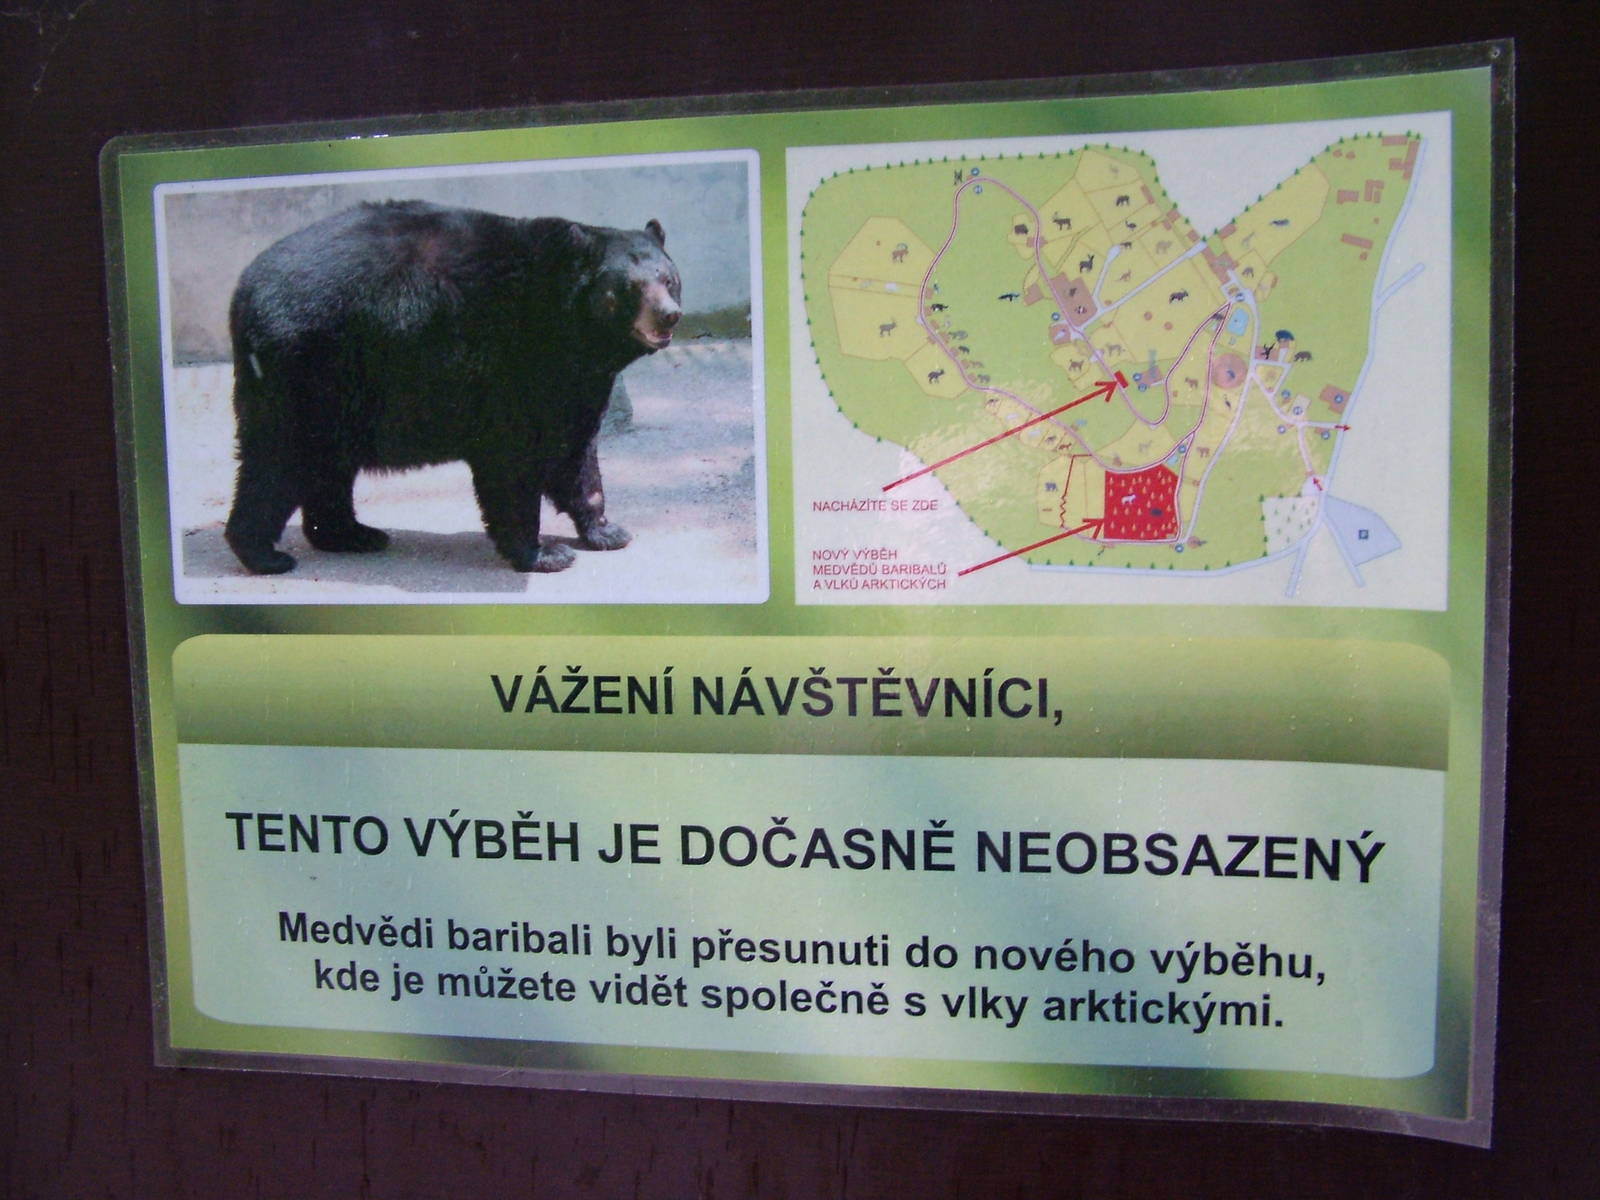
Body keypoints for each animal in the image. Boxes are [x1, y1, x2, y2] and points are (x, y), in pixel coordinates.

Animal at [221, 199, 681, 576]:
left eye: (668, 279)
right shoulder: (509, 364)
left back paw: (351, 534)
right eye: (629, 287)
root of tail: (245, 287)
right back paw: (264, 553)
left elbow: (575, 453)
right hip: (306, 365)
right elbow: (512, 460)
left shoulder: (576, 381)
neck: (570, 326)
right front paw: (543, 553)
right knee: (279, 459)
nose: (669, 315)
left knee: (326, 462)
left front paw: (607, 530)